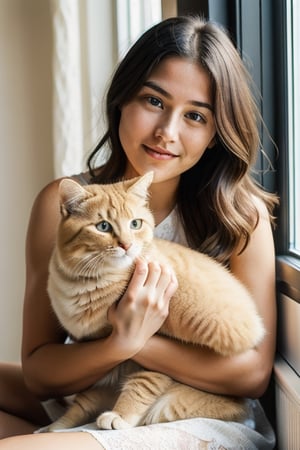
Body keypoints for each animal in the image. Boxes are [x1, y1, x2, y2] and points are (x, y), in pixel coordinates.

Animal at [47, 171, 264, 430]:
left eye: (135, 223)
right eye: (103, 226)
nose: (126, 245)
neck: (87, 283)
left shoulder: (155, 350)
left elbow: (142, 384)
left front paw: (121, 415)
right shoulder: (97, 352)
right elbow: (85, 398)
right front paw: (57, 426)